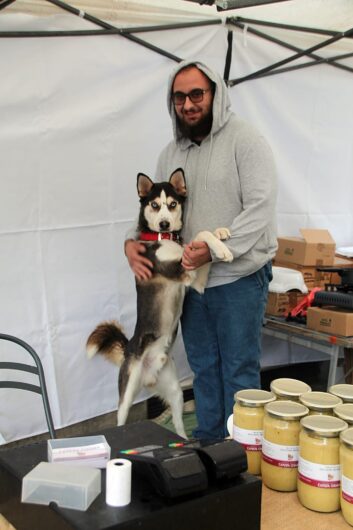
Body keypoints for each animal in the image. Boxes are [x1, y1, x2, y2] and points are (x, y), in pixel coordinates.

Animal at [86, 169, 232, 438]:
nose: (164, 223)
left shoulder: (196, 282)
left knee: (178, 424)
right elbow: (199, 235)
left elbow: (200, 238)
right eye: (154, 205)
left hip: (175, 392)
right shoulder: (182, 271)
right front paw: (221, 248)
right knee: (120, 421)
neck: (163, 238)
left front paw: (220, 235)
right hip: (127, 394)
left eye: (172, 204)